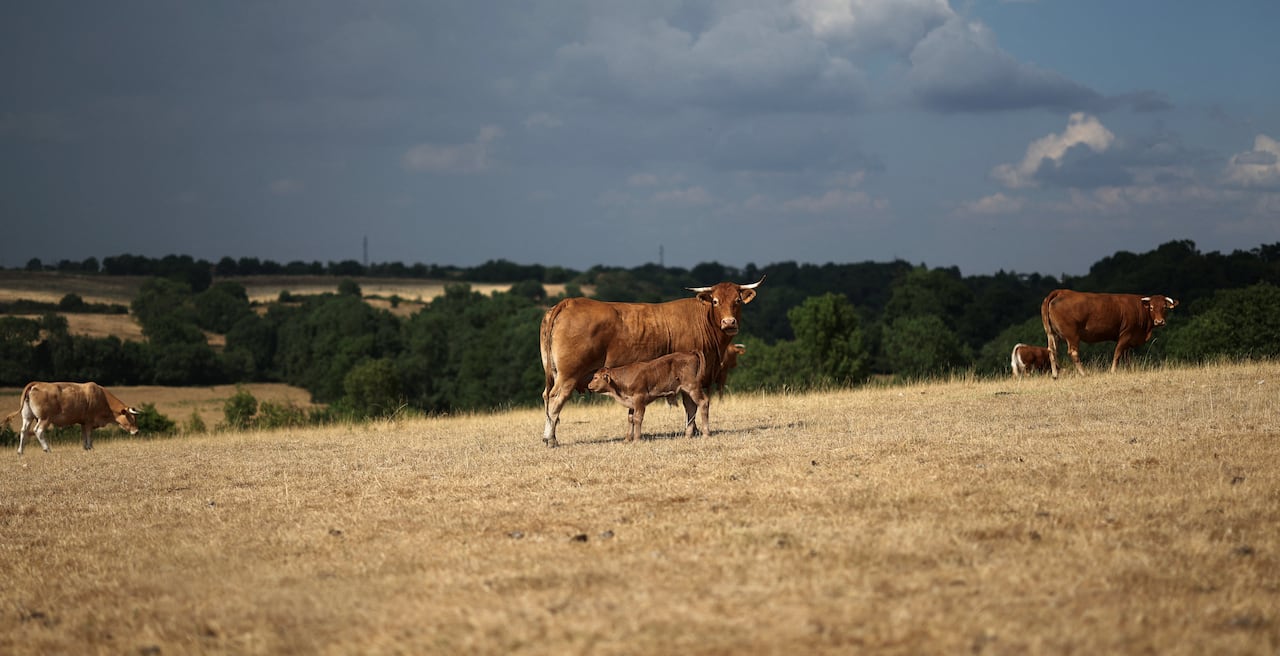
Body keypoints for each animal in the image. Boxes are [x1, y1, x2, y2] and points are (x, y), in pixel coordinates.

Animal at [3, 381, 140, 455]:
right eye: (131, 417)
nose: (137, 431)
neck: (101, 397)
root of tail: (36, 383)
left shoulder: (83, 422)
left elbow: (84, 435)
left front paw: (86, 447)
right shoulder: (89, 421)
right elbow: (89, 435)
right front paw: (90, 447)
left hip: (27, 417)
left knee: (23, 431)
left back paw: (20, 451)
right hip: (45, 419)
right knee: (38, 431)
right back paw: (47, 449)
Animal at [540, 277, 763, 447]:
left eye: (737, 301)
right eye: (715, 301)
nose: (729, 323)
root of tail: (567, 302)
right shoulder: (691, 380)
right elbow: (690, 404)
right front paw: (693, 431)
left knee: (547, 398)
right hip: (568, 376)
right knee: (555, 400)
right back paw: (550, 439)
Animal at [1041, 289, 1179, 378]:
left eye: (1164, 307)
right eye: (1151, 307)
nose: (1159, 321)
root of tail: (1061, 292)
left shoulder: (1129, 339)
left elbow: (1126, 356)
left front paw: (1129, 370)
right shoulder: (1126, 334)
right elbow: (1118, 353)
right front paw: (1113, 371)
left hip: (1052, 334)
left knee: (1052, 350)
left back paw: (1055, 374)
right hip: (1072, 335)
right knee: (1073, 352)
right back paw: (1084, 373)